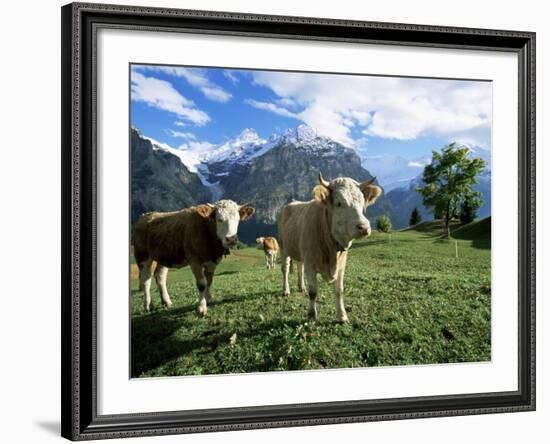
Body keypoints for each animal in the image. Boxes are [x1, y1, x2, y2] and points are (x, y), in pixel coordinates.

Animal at [278, 173, 382, 322]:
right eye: (338, 203)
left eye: (362, 202)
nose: (364, 227)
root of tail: (292, 203)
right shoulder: (310, 263)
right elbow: (313, 292)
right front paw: (311, 315)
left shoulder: (341, 265)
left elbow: (339, 291)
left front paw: (342, 316)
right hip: (283, 247)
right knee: (285, 269)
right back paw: (286, 290)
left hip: (299, 250)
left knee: (299, 267)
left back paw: (301, 287)